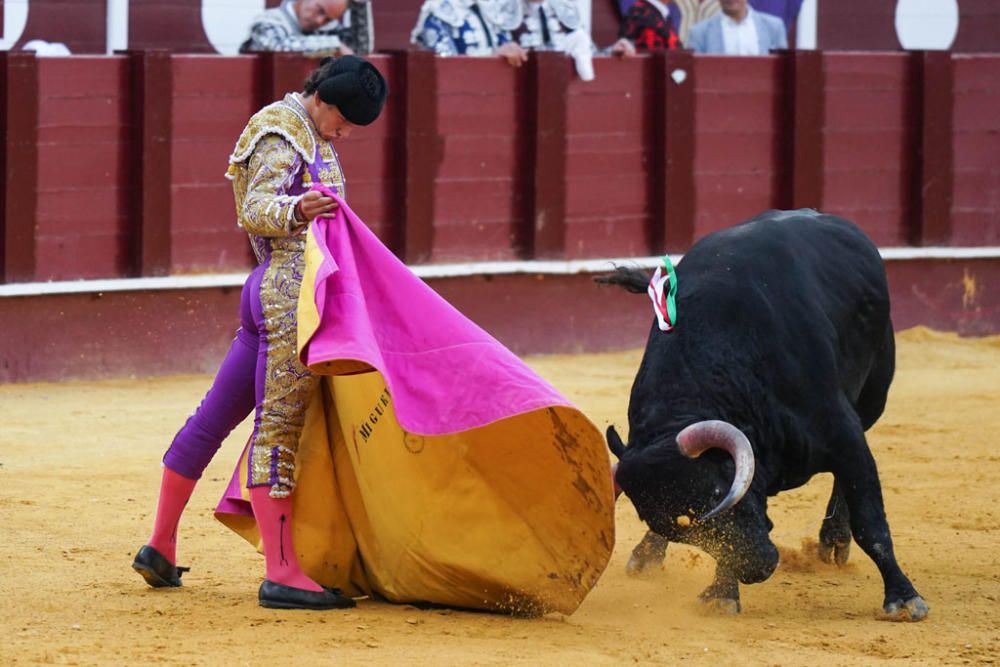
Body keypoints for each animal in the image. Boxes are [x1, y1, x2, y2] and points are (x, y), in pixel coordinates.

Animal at [596, 210, 924, 620]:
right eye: (681, 527)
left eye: (716, 493)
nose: (759, 569)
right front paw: (722, 593)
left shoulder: (843, 434)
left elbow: (871, 520)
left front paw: (904, 597)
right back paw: (646, 555)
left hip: (873, 398)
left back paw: (834, 543)